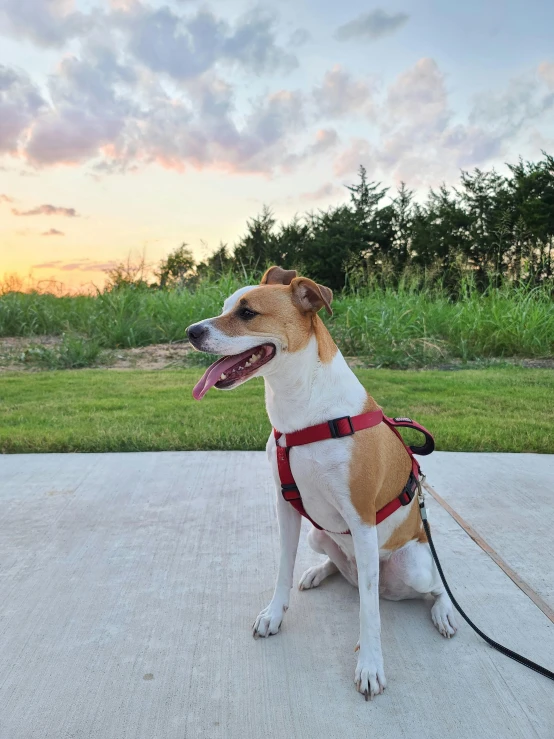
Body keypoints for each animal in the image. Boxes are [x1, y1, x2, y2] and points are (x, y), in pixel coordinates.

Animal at [188, 266, 454, 700]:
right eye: (225, 306)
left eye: (247, 312)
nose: (191, 331)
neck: (305, 412)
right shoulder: (285, 506)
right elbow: (282, 567)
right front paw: (274, 614)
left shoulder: (361, 520)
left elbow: (369, 613)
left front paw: (370, 665)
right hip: (318, 535)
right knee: (339, 565)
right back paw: (318, 572)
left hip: (414, 566)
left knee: (433, 586)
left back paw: (444, 610)